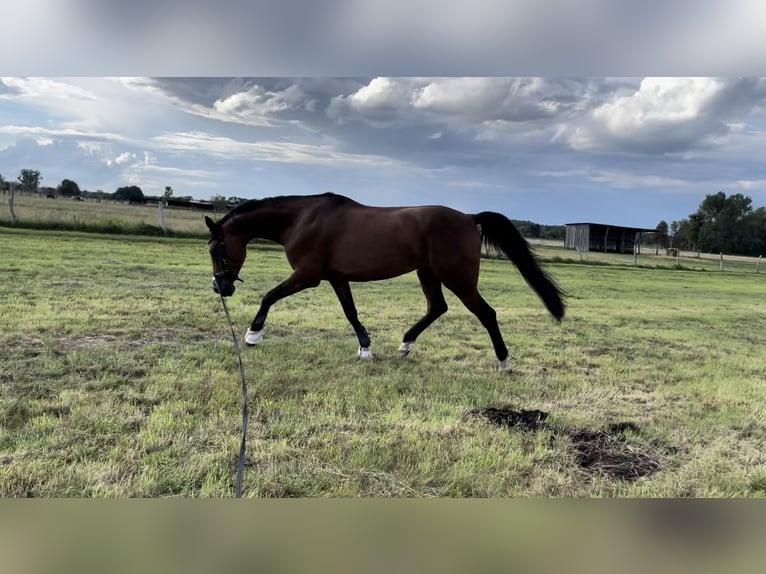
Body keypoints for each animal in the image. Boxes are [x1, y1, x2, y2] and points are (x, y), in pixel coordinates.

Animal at [207, 194, 568, 374]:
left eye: (215, 249)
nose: (221, 288)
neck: (302, 219)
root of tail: (469, 218)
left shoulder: (307, 276)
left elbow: (269, 296)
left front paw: (252, 336)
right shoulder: (336, 277)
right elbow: (351, 313)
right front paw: (366, 348)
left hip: (458, 278)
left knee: (487, 314)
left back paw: (504, 362)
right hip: (428, 274)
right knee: (437, 307)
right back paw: (405, 345)